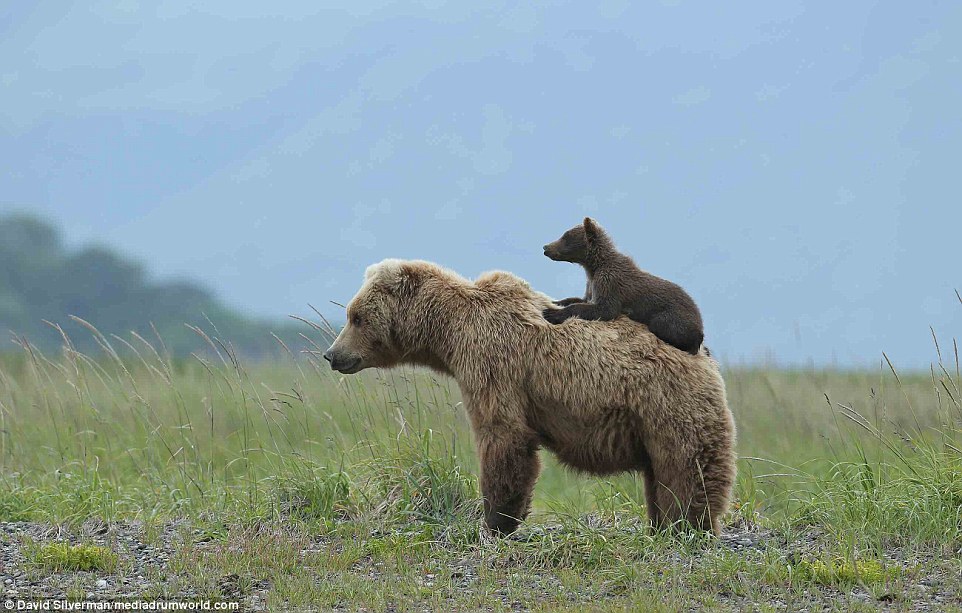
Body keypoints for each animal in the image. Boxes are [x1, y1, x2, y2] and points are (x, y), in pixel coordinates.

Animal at [322, 260, 736, 536]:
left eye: (356, 317)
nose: (332, 355)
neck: (450, 334)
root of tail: (705, 355)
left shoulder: (493, 362)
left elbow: (503, 435)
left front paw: (496, 520)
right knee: (659, 473)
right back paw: (662, 525)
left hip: (668, 404)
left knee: (686, 466)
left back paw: (688, 526)